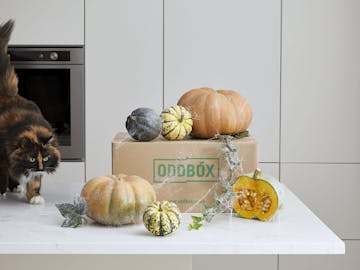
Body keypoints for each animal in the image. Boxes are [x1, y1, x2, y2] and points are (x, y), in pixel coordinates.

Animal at [0, 20, 60, 204]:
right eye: (32, 158)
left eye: (45, 158)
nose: (40, 168)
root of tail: (9, 94)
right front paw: (0, 192)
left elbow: (35, 182)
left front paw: (35, 197)